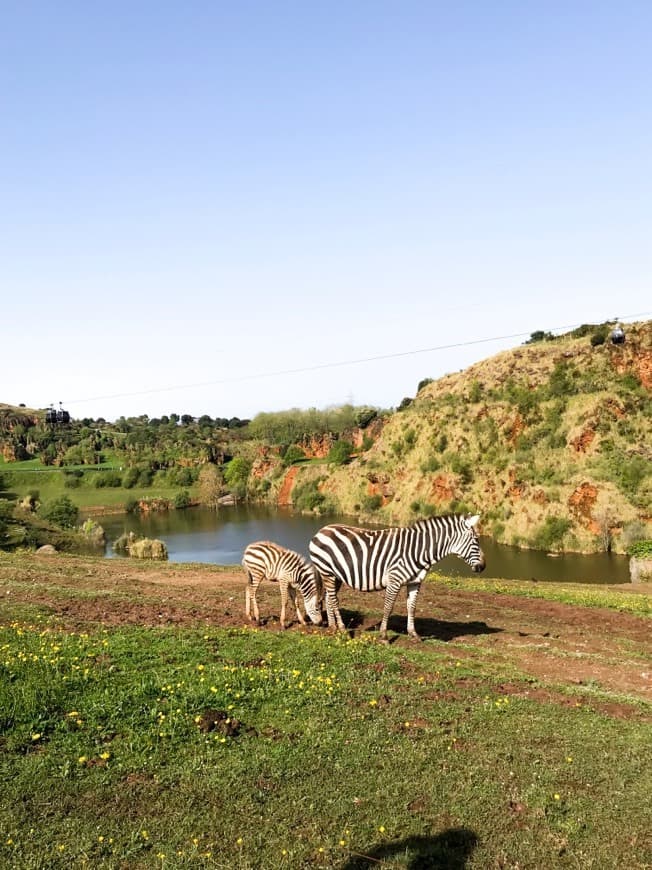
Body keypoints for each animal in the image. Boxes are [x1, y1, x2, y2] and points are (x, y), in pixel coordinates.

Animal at [310, 516, 484, 644]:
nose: (483, 567)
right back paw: (342, 629)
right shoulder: (395, 579)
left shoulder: (415, 582)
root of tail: (322, 529)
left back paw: (333, 628)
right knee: (334, 600)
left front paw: (413, 634)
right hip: (327, 571)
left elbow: (412, 608)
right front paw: (384, 637)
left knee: (328, 598)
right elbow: (388, 607)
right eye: (476, 540)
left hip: (335, 575)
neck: (419, 550)